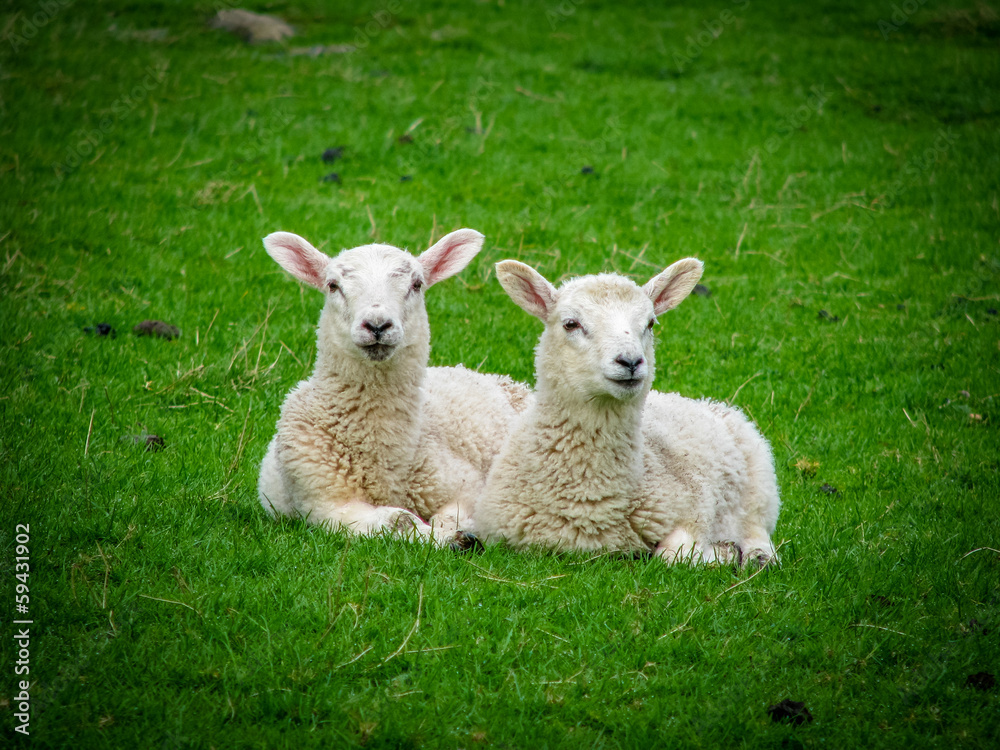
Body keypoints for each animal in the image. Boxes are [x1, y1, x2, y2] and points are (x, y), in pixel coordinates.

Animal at [257, 228, 530, 547]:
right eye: (333, 285)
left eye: (417, 284)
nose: (377, 325)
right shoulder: (323, 504)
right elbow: (398, 521)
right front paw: (444, 539)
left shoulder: (465, 485)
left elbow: (452, 516)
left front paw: (457, 535)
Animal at [472, 260, 780, 567]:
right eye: (571, 324)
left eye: (650, 323)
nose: (630, 361)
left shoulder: (695, 507)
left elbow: (672, 555)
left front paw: (723, 553)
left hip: (759, 484)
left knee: (757, 530)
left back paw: (758, 556)